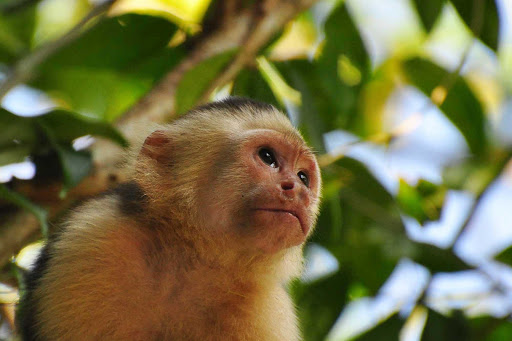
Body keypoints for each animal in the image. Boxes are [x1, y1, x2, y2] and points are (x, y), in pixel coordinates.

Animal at [17, 97, 320, 338]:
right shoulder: (89, 240)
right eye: (267, 157)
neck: (194, 260)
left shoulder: (269, 311)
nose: (296, 189)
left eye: (303, 177)